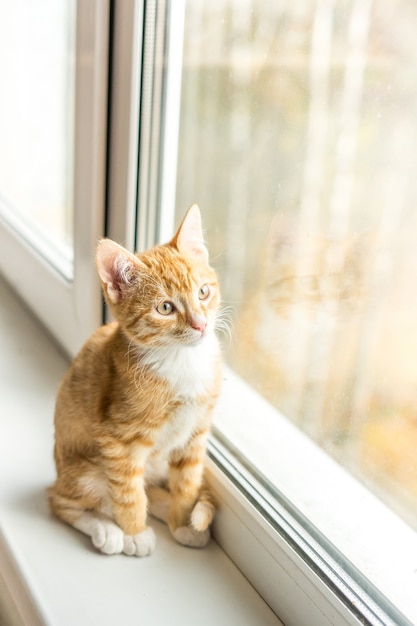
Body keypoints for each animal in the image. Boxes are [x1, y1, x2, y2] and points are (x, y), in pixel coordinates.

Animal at [48, 205, 221, 556]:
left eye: (203, 292)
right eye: (165, 307)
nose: (200, 324)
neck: (182, 360)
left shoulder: (195, 433)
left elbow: (187, 482)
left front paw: (183, 522)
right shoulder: (118, 441)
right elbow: (127, 492)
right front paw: (134, 532)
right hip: (84, 471)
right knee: (62, 501)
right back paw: (107, 530)